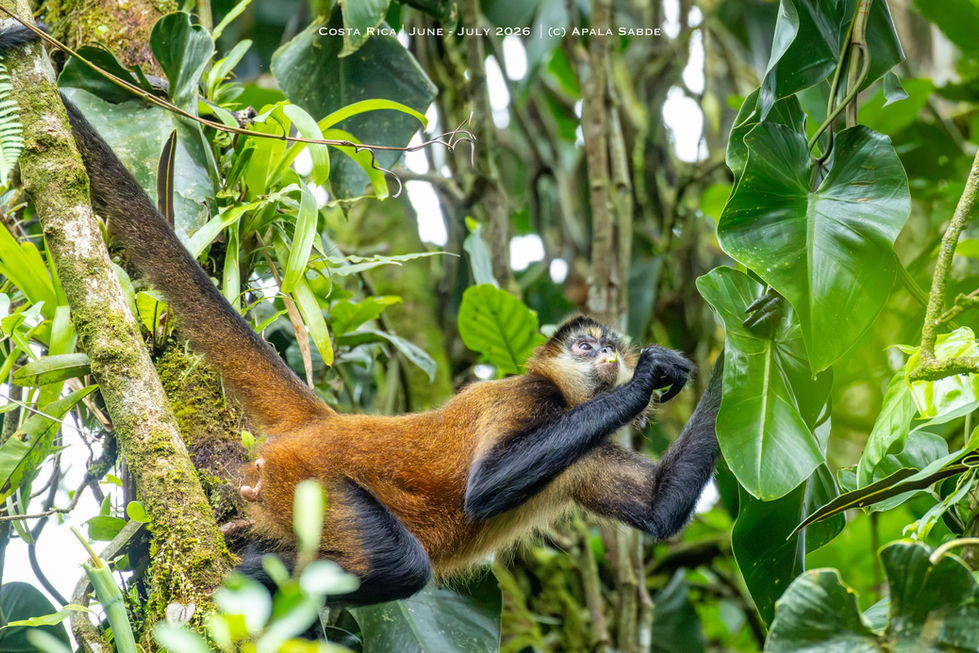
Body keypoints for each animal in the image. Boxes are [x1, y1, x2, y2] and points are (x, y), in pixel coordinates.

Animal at [0, 22, 724, 605]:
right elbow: (486, 488)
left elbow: (660, 509)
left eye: (607, 345)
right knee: (400, 564)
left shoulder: (586, 450)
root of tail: (326, 423)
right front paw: (647, 378)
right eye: (582, 348)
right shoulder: (526, 398)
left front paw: (734, 343)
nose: (606, 359)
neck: (569, 404)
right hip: (312, 482)